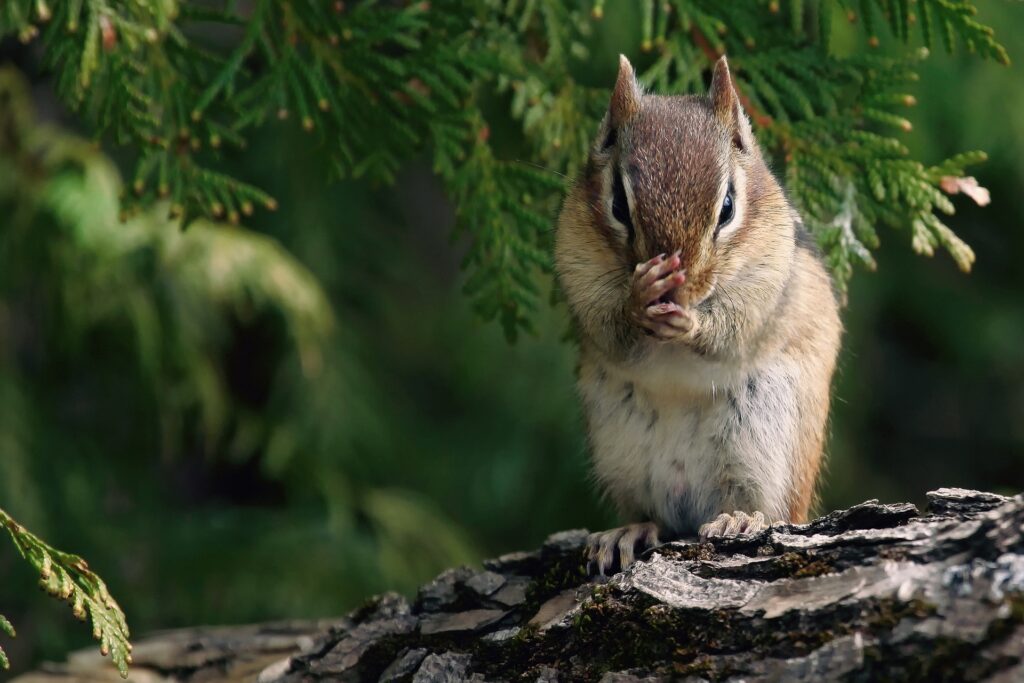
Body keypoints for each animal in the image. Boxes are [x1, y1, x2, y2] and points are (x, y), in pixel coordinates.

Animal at [555, 55, 842, 575]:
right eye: (618, 205)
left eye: (727, 207)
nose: (679, 287)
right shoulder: (576, 265)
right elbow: (608, 326)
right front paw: (639, 299)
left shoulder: (768, 281)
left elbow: (735, 330)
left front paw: (691, 323)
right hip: (619, 449)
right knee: (654, 514)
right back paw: (630, 530)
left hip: (770, 442)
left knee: (771, 509)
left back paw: (740, 519)